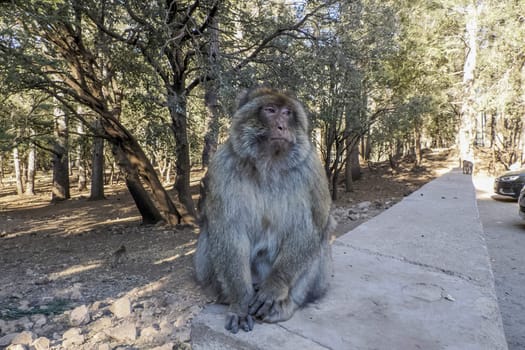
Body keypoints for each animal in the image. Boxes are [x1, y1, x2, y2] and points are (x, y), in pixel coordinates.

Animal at [194, 87, 334, 334]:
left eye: (287, 113)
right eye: (270, 110)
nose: (282, 126)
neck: (269, 161)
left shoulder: (311, 167)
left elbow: (313, 226)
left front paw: (275, 286)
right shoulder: (222, 166)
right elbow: (228, 232)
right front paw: (240, 303)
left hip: (321, 282)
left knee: (320, 238)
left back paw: (285, 305)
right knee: (210, 236)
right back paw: (228, 297)